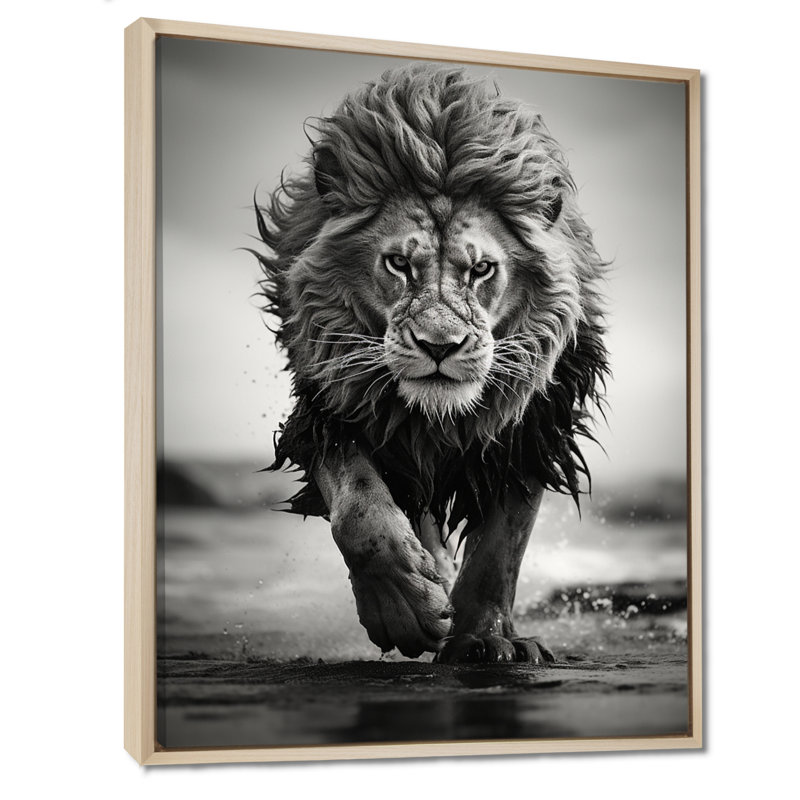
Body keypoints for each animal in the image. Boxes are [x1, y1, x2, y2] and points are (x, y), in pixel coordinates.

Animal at [249, 64, 608, 664]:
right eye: (399, 264)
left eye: (482, 270)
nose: (440, 346)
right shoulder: (330, 409)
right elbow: (360, 512)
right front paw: (404, 608)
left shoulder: (533, 428)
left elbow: (500, 548)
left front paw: (481, 638)